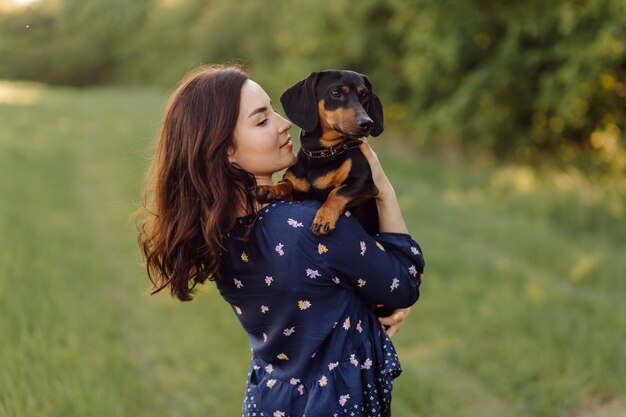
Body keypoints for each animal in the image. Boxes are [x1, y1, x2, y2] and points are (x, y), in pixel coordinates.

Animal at [255, 70, 382, 236]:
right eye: (336, 93)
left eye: (365, 94)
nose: (367, 123)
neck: (323, 153)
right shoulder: (298, 193)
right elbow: (286, 183)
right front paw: (269, 189)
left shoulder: (364, 183)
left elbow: (337, 192)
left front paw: (324, 218)